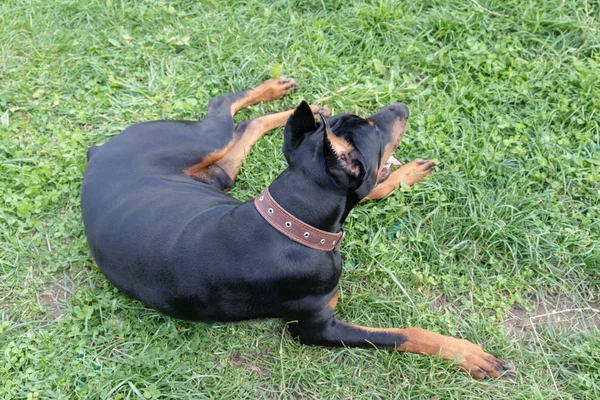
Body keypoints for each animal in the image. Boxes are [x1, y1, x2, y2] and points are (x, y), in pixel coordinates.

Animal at [81, 77, 510, 378]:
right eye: (373, 128)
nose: (401, 105)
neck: (292, 223)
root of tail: (97, 152)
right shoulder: (317, 329)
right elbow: (404, 334)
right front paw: (467, 354)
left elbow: (369, 188)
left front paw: (407, 173)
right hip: (200, 142)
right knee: (222, 110)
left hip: (218, 175)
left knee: (247, 128)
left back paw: (292, 97)